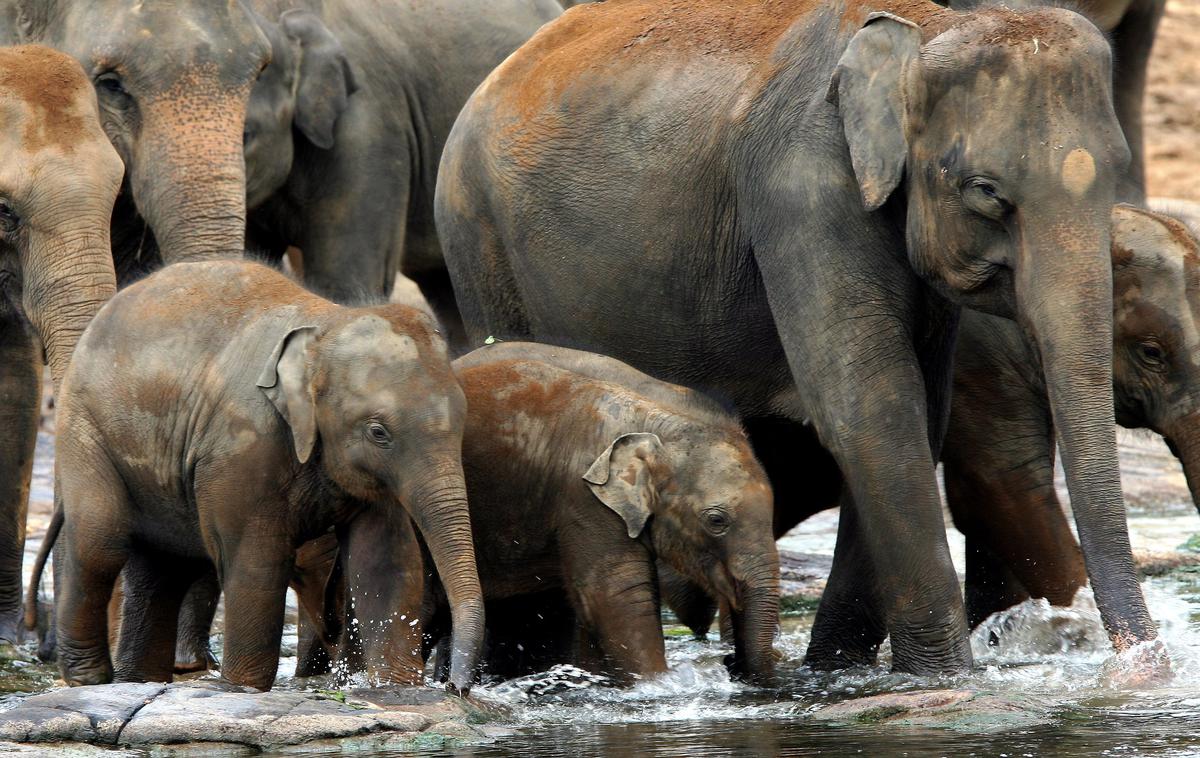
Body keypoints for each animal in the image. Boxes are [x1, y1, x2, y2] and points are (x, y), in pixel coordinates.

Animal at [46, 260, 484, 690]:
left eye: (463, 419)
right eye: (379, 432)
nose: (456, 687)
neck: (326, 324)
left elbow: (385, 560)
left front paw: (394, 688)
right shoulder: (241, 446)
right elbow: (255, 561)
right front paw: (243, 688)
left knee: (163, 567)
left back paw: (137, 680)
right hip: (84, 429)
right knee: (102, 542)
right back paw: (89, 679)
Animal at [439, 1, 1161, 676]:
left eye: (1116, 171)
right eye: (985, 191)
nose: (1143, 667)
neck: (923, 28)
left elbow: (920, 414)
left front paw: (838, 671)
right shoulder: (801, 192)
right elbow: (873, 411)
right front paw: (946, 677)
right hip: (477, 240)